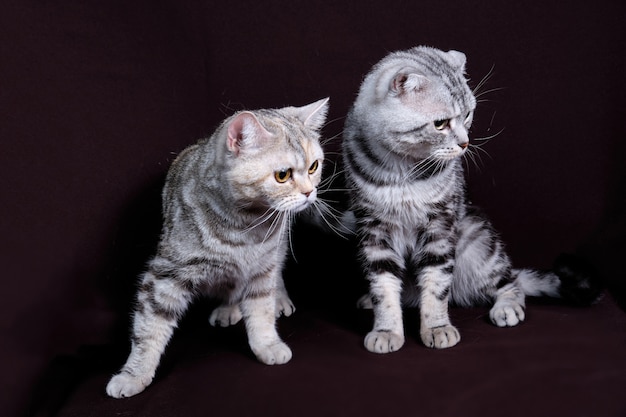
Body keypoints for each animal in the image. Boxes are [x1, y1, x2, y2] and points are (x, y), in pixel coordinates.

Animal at [106, 97, 332, 396]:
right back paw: (229, 308)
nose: (309, 193)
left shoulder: (263, 268)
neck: (244, 228)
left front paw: (267, 344)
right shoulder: (166, 274)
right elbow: (149, 328)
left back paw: (276, 298)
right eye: (282, 175)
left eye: (313, 167)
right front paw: (133, 375)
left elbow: (261, 311)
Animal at [342, 44, 600, 352]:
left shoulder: (440, 227)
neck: (402, 170)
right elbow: (383, 287)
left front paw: (437, 327)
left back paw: (507, 307)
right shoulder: (374, 230)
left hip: (478, 244)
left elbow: (436, 286)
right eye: (440, 124)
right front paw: (386, 329)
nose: (465, 143)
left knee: (510, 282)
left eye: (468, 114)